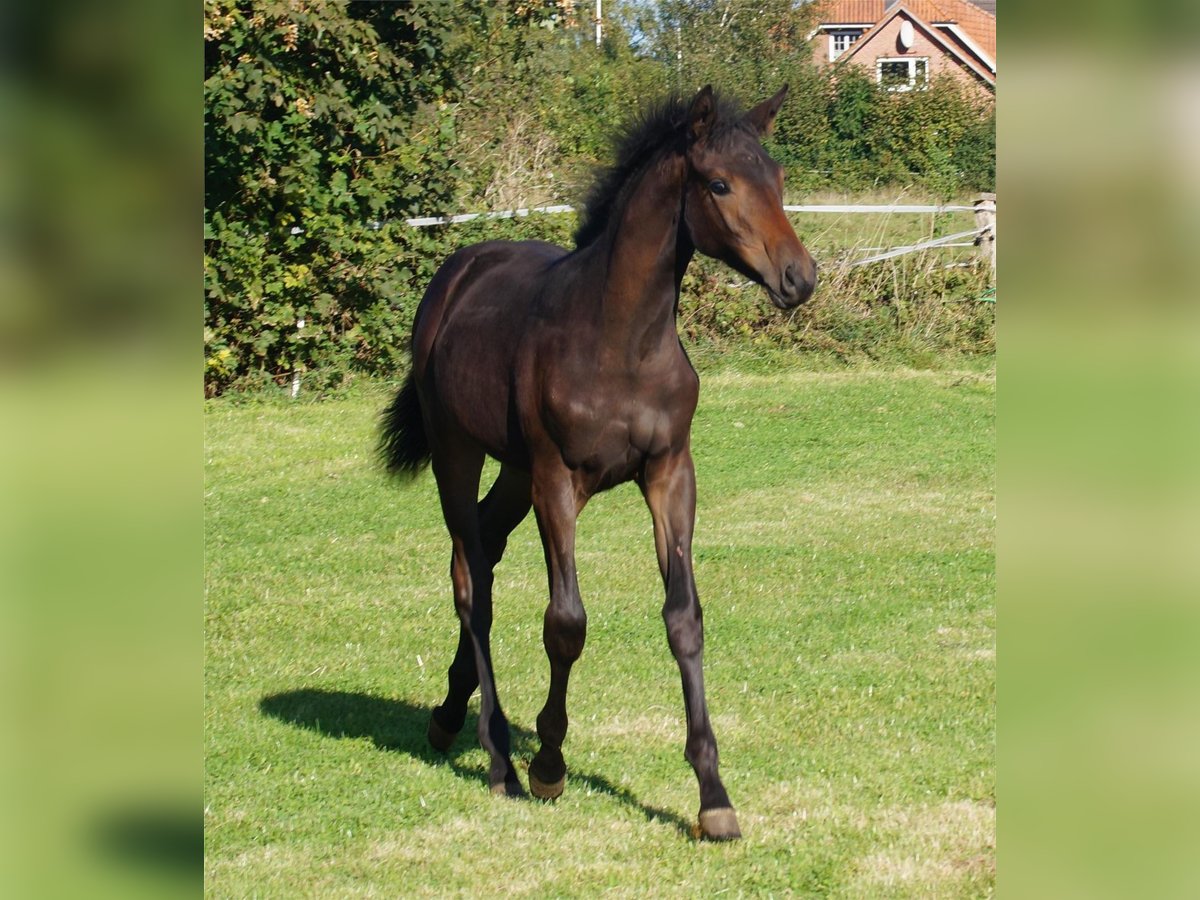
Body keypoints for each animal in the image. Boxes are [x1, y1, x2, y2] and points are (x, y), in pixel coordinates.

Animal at [384, 82, 816, 840]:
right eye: (719, 183)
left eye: (779, 178)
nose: (801, 277)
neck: (622, 340)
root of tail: (457, 272)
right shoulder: (559, 481)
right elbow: (566, 623)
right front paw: (549, 763)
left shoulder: (670, 473)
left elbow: (684, 618)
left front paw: (713, 796)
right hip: (459, 453)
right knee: (471, 579)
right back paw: (496, 755)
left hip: (514, 470)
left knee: (485, 553)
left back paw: (448, 715)